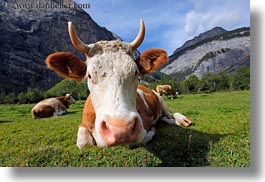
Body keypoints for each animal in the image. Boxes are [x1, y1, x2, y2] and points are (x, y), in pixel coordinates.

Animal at [44, 19, 191, 148]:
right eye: (89, 76)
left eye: (136, 73)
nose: (121, 130)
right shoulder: (83, 124)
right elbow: (83, 142)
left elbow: (141, 139)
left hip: (161, 100)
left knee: (171, 114)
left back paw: (182, 120)